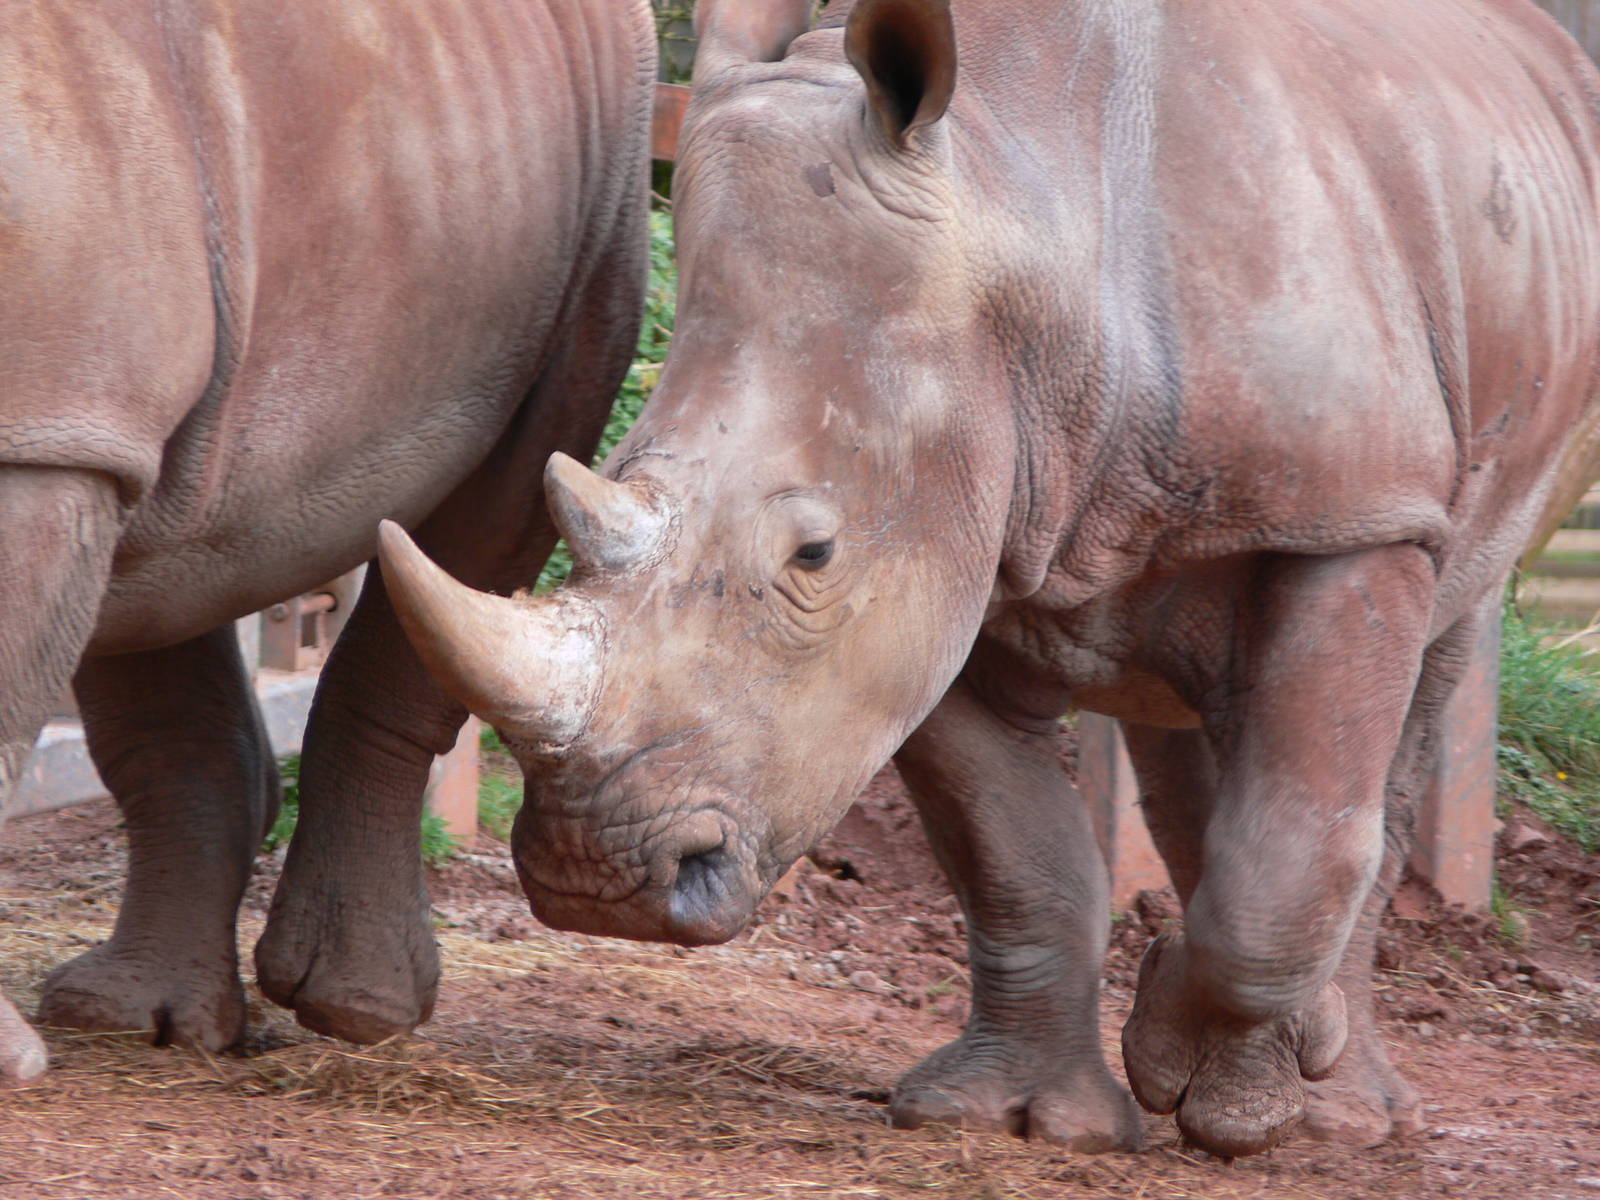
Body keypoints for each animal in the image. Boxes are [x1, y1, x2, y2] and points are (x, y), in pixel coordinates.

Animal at [0, 0, 654, 1083]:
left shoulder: (46, 428)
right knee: (163, 555)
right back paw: (137, 1020)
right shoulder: (69, 416)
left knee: (490, 507)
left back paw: (355, 1010)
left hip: (602, 173)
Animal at [375, 0, 1600, 1159]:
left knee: (1414, 686)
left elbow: (1297, 836)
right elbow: (1012, 849)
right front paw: (1010, 1118)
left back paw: (1334, 1113)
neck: (1027, 211)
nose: (595, 875)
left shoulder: (1351, 514)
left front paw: (1211, 1093)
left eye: (812, 556)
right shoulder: (946, 549)